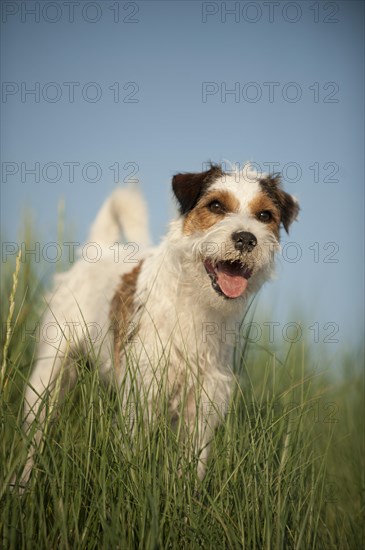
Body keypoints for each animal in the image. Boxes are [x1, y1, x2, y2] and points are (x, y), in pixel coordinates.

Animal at [17, 163, 298, 488]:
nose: (246, 238)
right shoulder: (141, 395)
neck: (196, 305)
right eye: (216, 206)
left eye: (264, 215)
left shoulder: (202, 407)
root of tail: (99, 249)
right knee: (36, 429)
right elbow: (133, 456)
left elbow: (191, 467)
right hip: (50, 370)